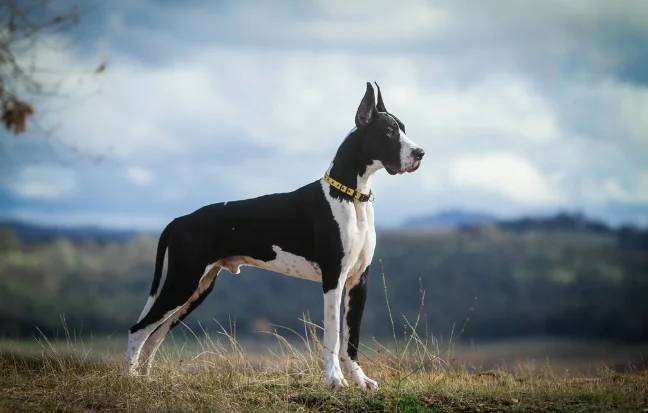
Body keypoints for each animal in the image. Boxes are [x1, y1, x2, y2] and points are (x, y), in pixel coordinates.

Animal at [126, 82, 426, 388]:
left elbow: (351, 339)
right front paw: (334, 379)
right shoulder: (334, 279)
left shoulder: (358, 281)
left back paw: (146, 381)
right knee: (138, 330)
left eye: (403, 128)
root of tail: (180, 220)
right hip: (183, 282)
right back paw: (131, 380)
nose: (420, 153)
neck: (351, 196)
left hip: (197, 289)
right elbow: (333, 335)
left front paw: (361, 380)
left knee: (155, 336)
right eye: (388, 132)